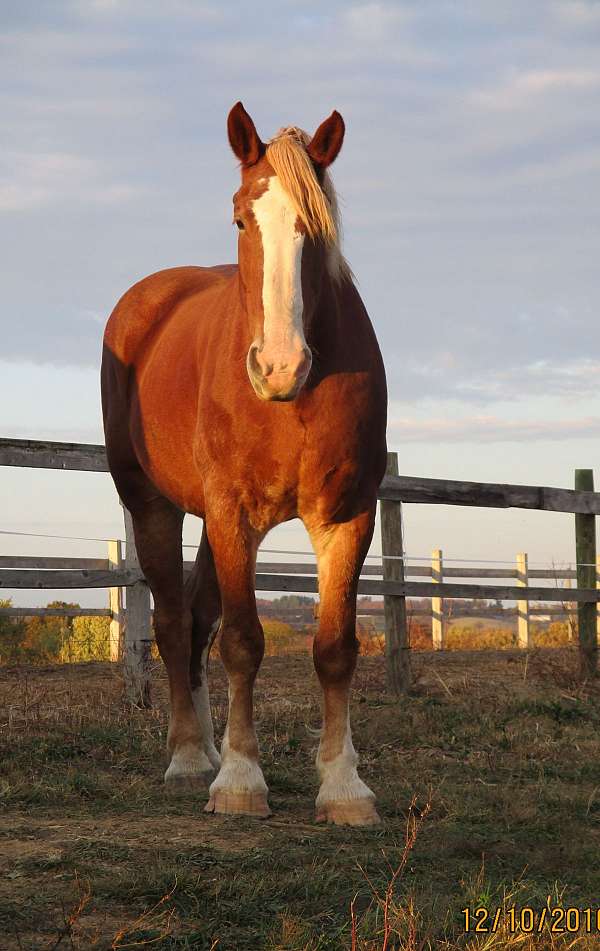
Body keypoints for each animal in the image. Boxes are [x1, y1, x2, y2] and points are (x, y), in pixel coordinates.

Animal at [101, 104, 386, 824]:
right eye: (239, 219)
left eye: (317, 227)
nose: (279, 367)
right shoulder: (235, 513)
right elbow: (243, 641)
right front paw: (239, 778)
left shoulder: (348, 517)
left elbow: (334, 647)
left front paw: (343, 785)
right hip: (153, 503)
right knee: (176, 623)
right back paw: (187, 755)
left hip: (210, 521)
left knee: (197, 622)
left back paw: (204, 744)